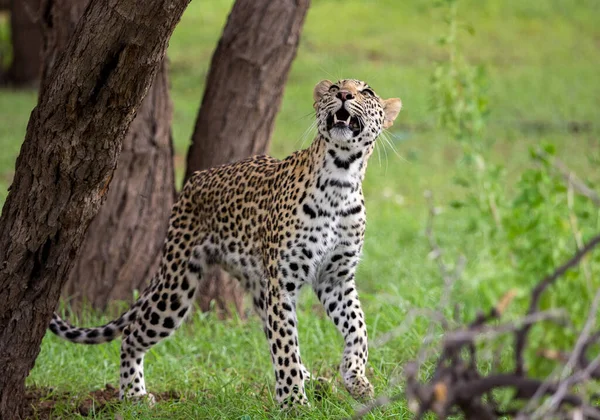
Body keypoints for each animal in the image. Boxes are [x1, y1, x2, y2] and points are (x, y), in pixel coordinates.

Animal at [48, 79, 404, 406]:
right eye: (334, 87)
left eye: (367, 93)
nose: (344, 94)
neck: (342, 177)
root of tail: (195, 179)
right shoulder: (283, 282)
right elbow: (286, 347)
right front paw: (293, 403)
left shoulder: (336, 279)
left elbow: (358, 329)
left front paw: (355, 378)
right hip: (178, 284)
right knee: (132, 334)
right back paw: (134, 394)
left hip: (256, 286)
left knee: (272, 330)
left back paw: (317, 382)